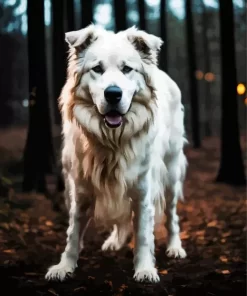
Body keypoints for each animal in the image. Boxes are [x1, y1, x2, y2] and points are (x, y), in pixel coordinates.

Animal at [44, 24, 187, 282]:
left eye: (127, 69)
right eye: (97, 69)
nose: (113, 94)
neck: (112, 141)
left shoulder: (142, 191)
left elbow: (143, 235)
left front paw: (144, 269)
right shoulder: (81, 191)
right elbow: (73, 233)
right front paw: (64, 266)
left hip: (171, 174)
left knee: (172, 216)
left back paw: (175, 247)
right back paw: (114, 241)